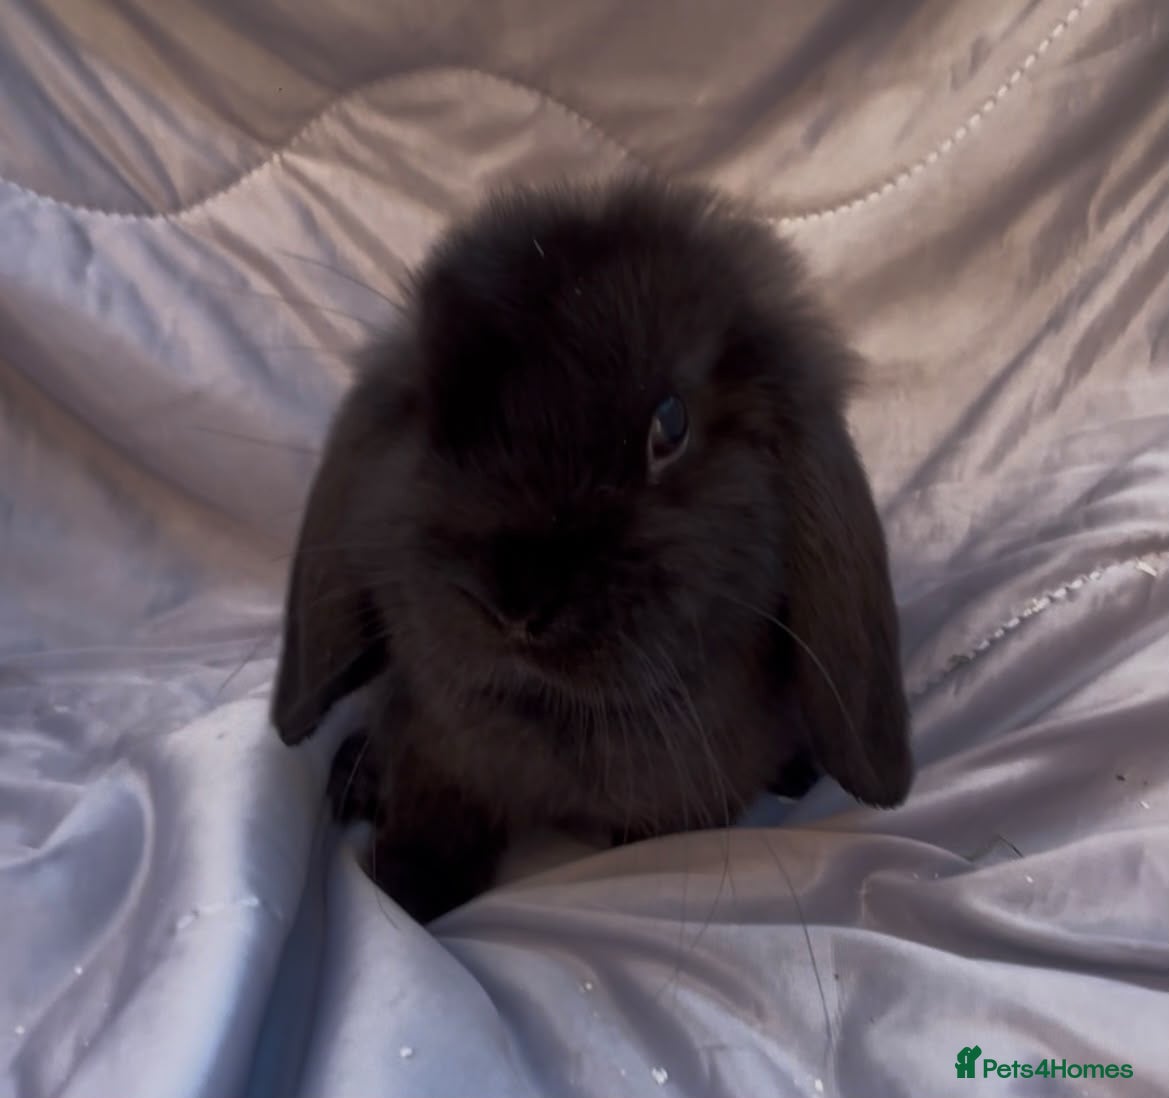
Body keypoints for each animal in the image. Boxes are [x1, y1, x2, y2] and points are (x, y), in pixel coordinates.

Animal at [271, 176, 913, 924]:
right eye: (429, 416)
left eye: (671, 425)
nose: (513, 604)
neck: (556, 717)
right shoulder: (436, 755)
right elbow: (433, 824)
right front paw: (404, 895)